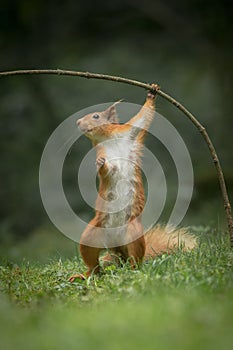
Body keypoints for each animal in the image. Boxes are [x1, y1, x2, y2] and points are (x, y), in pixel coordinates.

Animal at [68, 85, 195, 282]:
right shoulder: (101, 151)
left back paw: (133, 271)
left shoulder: (130, 133)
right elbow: (107, 171)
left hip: (133, 235)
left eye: (96, 116)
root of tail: (116, 247)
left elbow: (143, 117)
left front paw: (152, 94)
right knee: (93, 264)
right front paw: (102, 164)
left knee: (135, 260)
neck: (109, 139)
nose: (78, 122)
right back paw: (85, 275)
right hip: (91, 235)